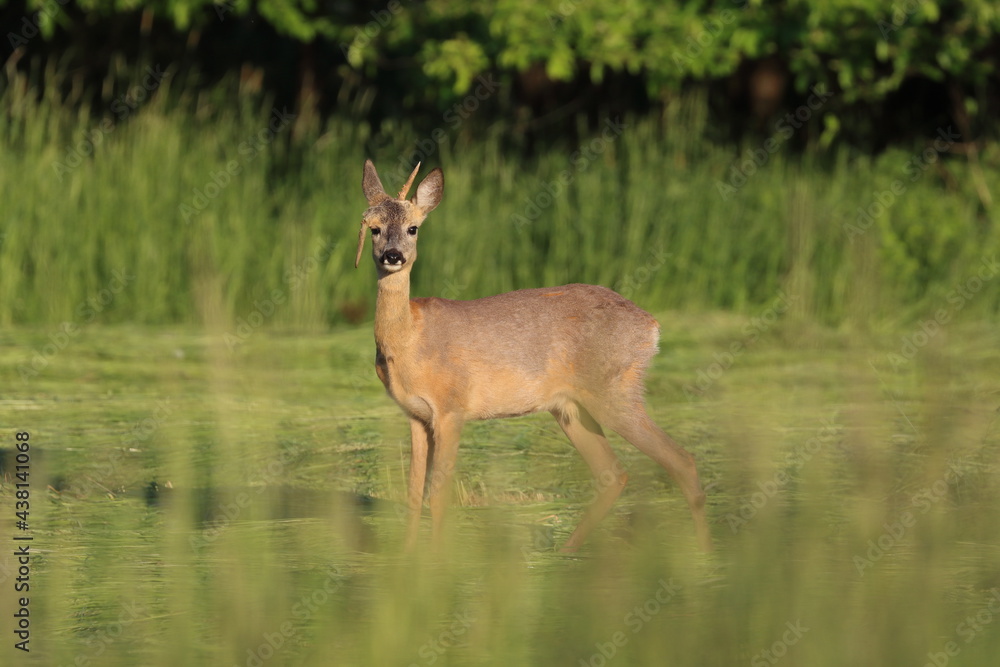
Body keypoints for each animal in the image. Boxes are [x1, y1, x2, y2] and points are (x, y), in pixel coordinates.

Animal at [352, 160, 712, 552]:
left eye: (413, 228)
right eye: (374, 228)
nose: (393, 255)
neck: (410, 340)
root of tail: (652, 326)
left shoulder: (452, 408)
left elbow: (439, 495)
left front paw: (437, 559)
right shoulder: (416, 416)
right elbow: (414, 494)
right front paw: (407, 557)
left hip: (616, 391)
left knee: (682, 460)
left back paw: (703, 554)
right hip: (570, 408)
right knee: (614, 474)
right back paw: (566, 553)